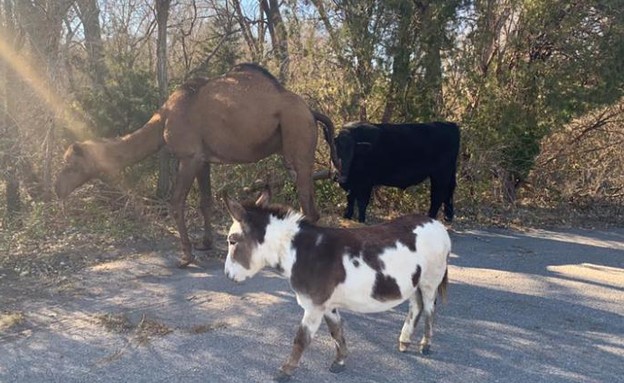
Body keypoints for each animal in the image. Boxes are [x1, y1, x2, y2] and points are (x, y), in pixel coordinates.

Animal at [54, 63, 342, 268]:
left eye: (69, 165)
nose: (56, 189)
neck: (164, 119)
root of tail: (310, 111)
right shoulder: (204, 160)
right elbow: (206, 201)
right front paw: (205, 244)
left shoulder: (189, 156)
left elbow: (176, 201)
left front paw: (186, 256)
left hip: (297, 139)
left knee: (307, 204)